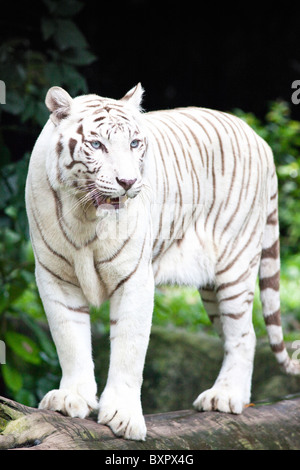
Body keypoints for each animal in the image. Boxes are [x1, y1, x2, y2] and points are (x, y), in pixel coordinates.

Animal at [25, 83, 300, 440]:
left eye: (134, 143)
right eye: (97, 145)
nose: (128, 182)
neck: (85, 215)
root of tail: (258, 137)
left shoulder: (134, 279)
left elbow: (129, 349)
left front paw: (123, 415)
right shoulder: (55, 275)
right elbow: (69, 340)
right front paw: (72, 398)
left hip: (236, 264)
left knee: (245, 334)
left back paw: (225, 396)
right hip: (211, 287)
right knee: (237, 334)